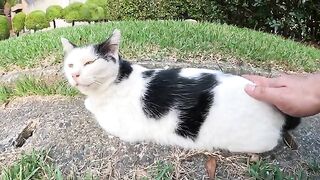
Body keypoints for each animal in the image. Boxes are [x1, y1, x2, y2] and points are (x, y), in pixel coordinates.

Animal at [60, 28, 300, 153]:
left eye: (89, 63)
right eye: (70, 65)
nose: (75, 75)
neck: (118, 80)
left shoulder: (120, 127)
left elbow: (93, 108)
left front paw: (89, 103)